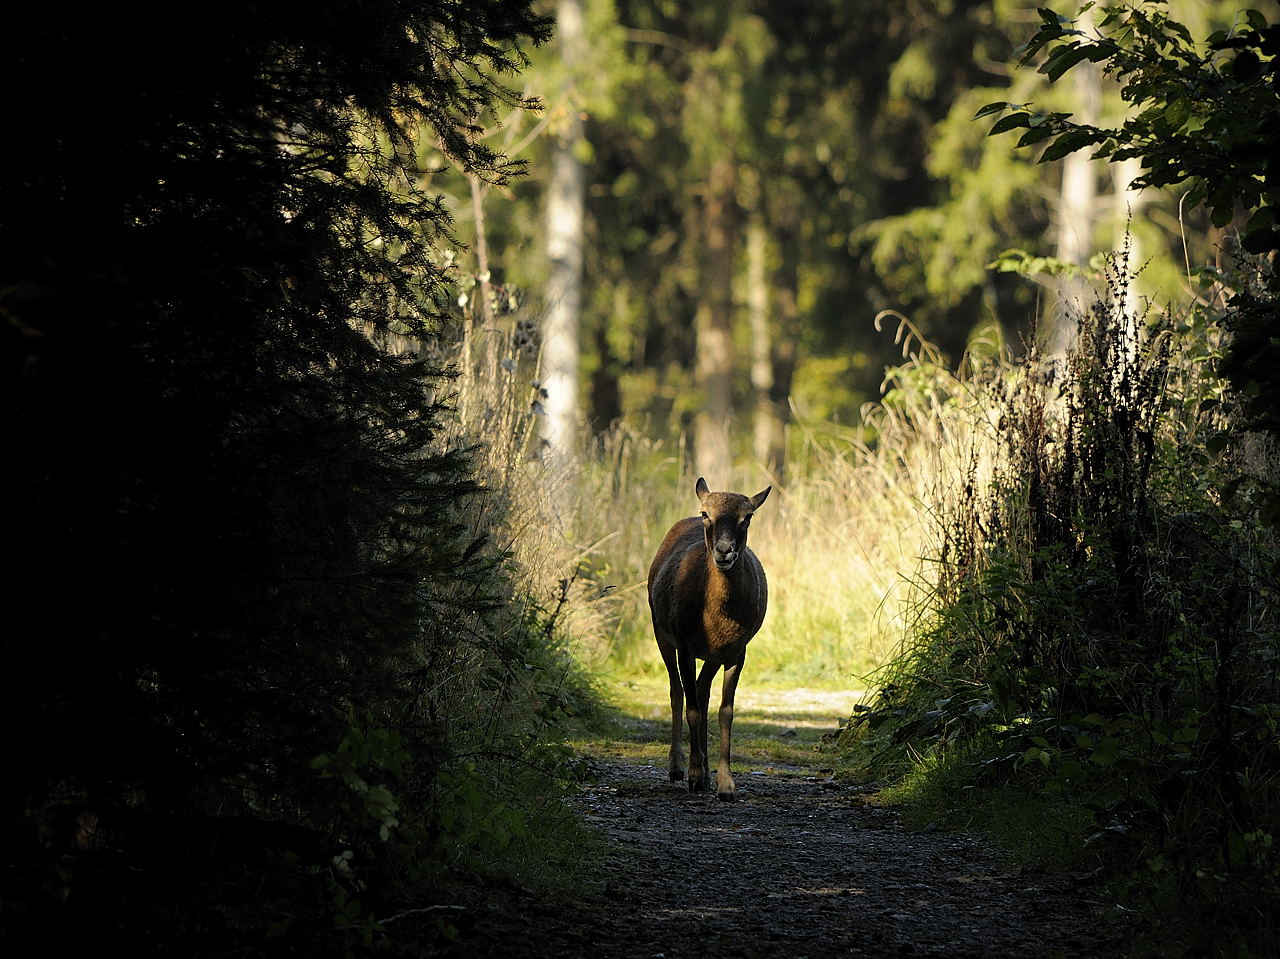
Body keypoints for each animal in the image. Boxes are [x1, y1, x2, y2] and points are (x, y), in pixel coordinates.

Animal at [647, 477, 770, 801]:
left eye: (747, 517)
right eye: (706, 514)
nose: (724, 551)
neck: (716, 616)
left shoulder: (737, 650)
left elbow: (725, 712)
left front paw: (725, 784)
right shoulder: (685, 644)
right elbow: (691, 709)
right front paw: (693, 774)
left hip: (712, 654)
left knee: (702, 692)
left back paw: (702, 768)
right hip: (661, 632)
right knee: (677, 691)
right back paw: (677, 767)